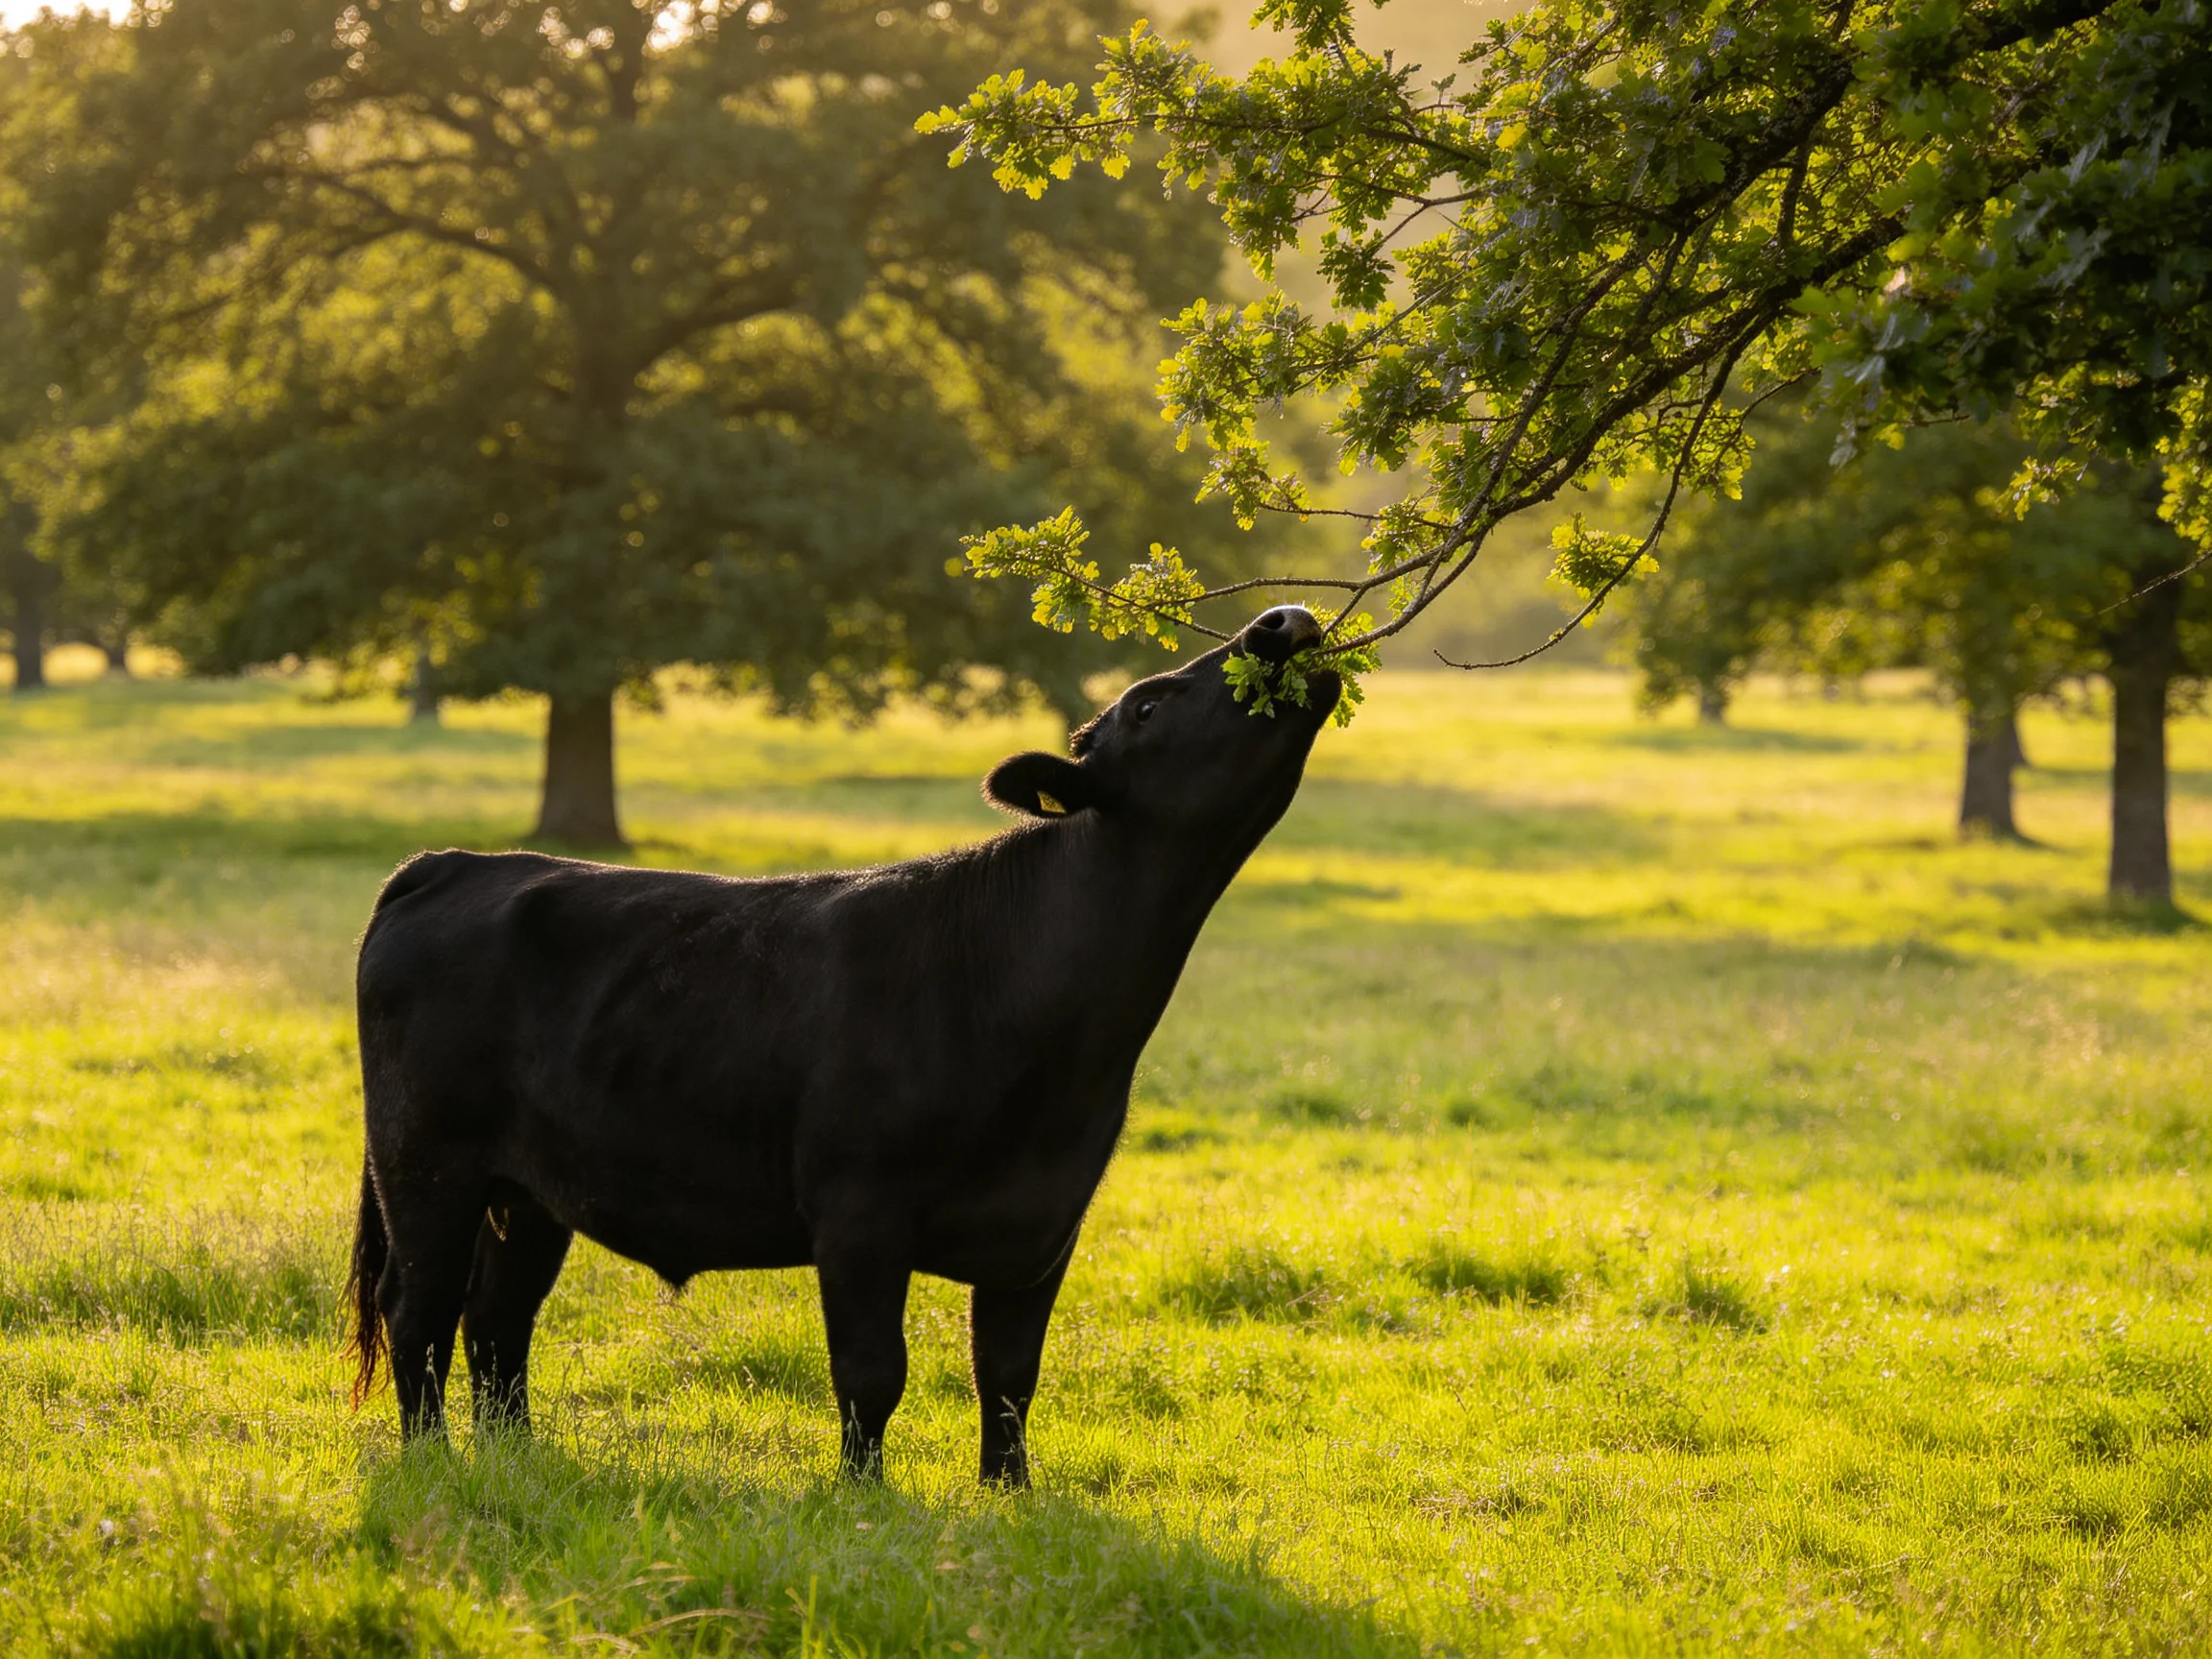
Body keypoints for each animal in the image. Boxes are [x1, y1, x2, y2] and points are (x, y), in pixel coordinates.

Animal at [345, 604, 1340, 1485]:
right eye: (1147, 707)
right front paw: (864, 1498)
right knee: (419, 1307)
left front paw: (1011, 1495)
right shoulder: (859, 1209)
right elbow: (872, 1373)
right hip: (427, 1163)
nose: (1282, 622)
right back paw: (432, 1460)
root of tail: (452, 864)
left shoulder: (1046, 1222)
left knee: (497, 1317)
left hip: (532, 1188)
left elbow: (1009, 1375)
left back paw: (515, 1458)